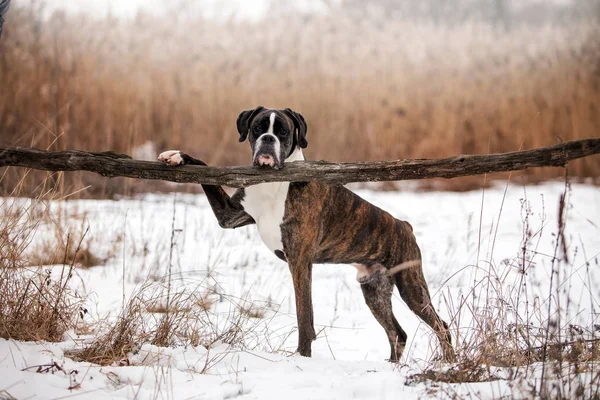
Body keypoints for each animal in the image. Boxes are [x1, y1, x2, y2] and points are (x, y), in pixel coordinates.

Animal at [159, 106, 454, 362]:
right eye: (257, 128)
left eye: (284, 132)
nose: (268, 139)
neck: (273, 182)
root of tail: (404, 225)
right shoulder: (228, 216)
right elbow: (204, 173)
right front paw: (177, 156)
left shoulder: (299, 260)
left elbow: (305, 317)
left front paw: (302, 357)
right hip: (375, 290)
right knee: (397, 332)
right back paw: (392, 367)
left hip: (411, 286)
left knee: (441, 326)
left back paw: (448, 362)